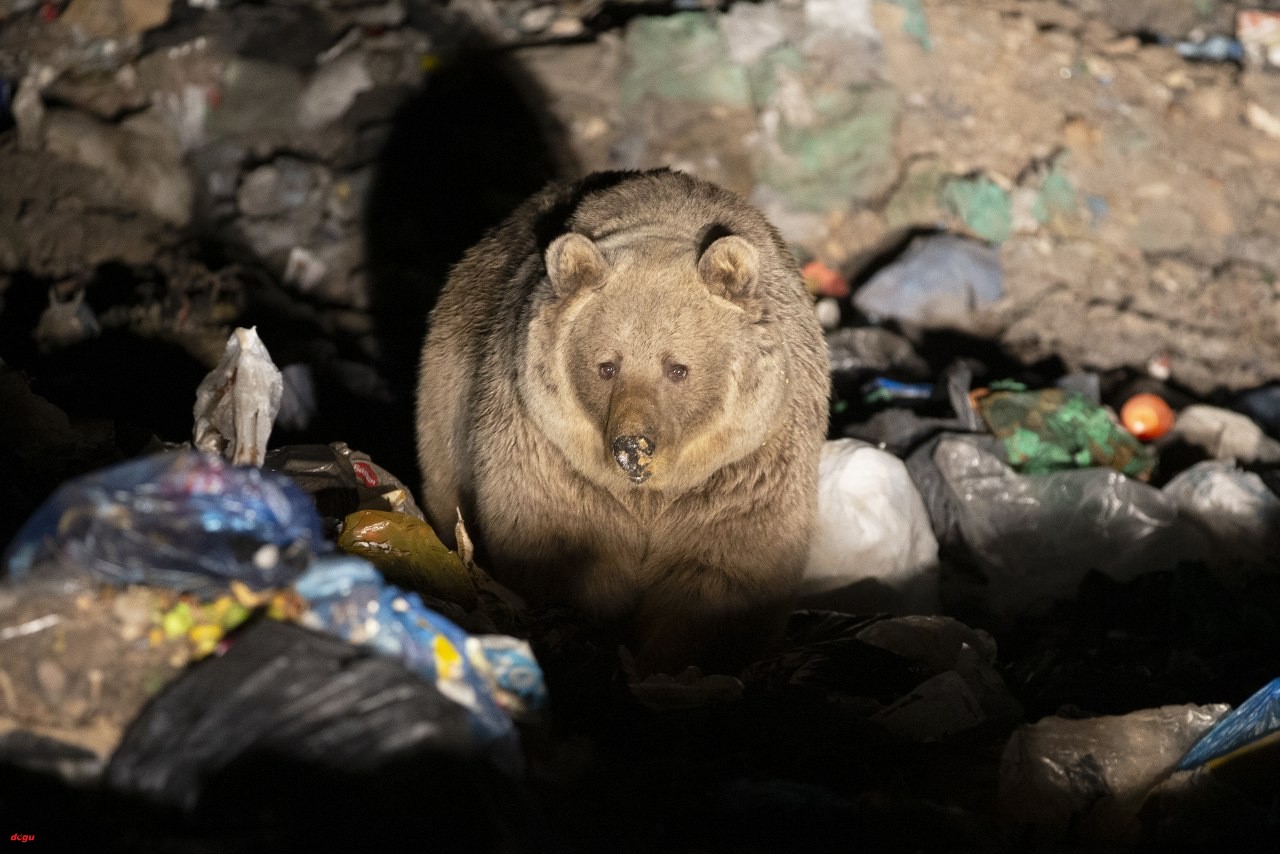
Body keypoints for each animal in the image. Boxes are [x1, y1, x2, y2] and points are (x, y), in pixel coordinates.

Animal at [419, 166, 829, 676]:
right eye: (606, 366)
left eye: (678, 368)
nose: (634, 446)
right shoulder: (551, 452)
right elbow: (564, 547)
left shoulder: (744, 467)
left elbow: (723, 568)